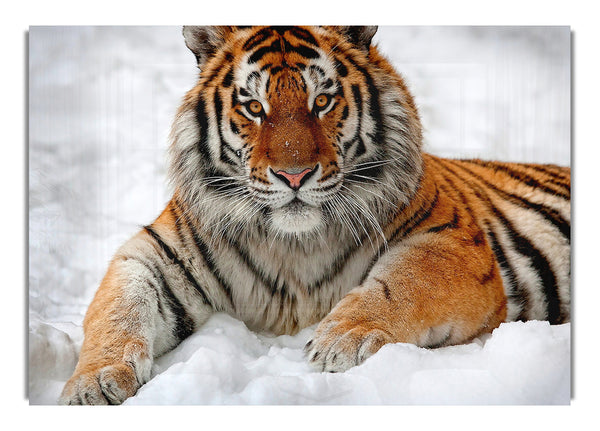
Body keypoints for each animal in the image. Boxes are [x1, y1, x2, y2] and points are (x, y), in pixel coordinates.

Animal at [59, 26, 572, 404]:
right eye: (254, 107)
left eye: (321, 101)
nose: (294, 174)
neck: (294, 245)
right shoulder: (155, 255)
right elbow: (118, 310)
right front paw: (93, 384)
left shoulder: (452, 241)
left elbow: (404, 283)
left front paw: (341, 340)